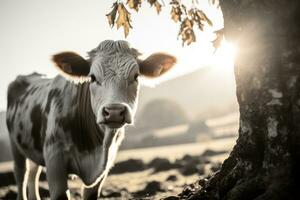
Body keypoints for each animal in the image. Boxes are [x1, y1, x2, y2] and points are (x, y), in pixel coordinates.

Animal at [6, 40, 176, 200]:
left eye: (136, 76)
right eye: (92, 77)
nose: (114, 111)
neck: (93, 148)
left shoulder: (104, 167)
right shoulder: (54, 160)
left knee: (33, 172)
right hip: (15, 145)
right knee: (21, 173)